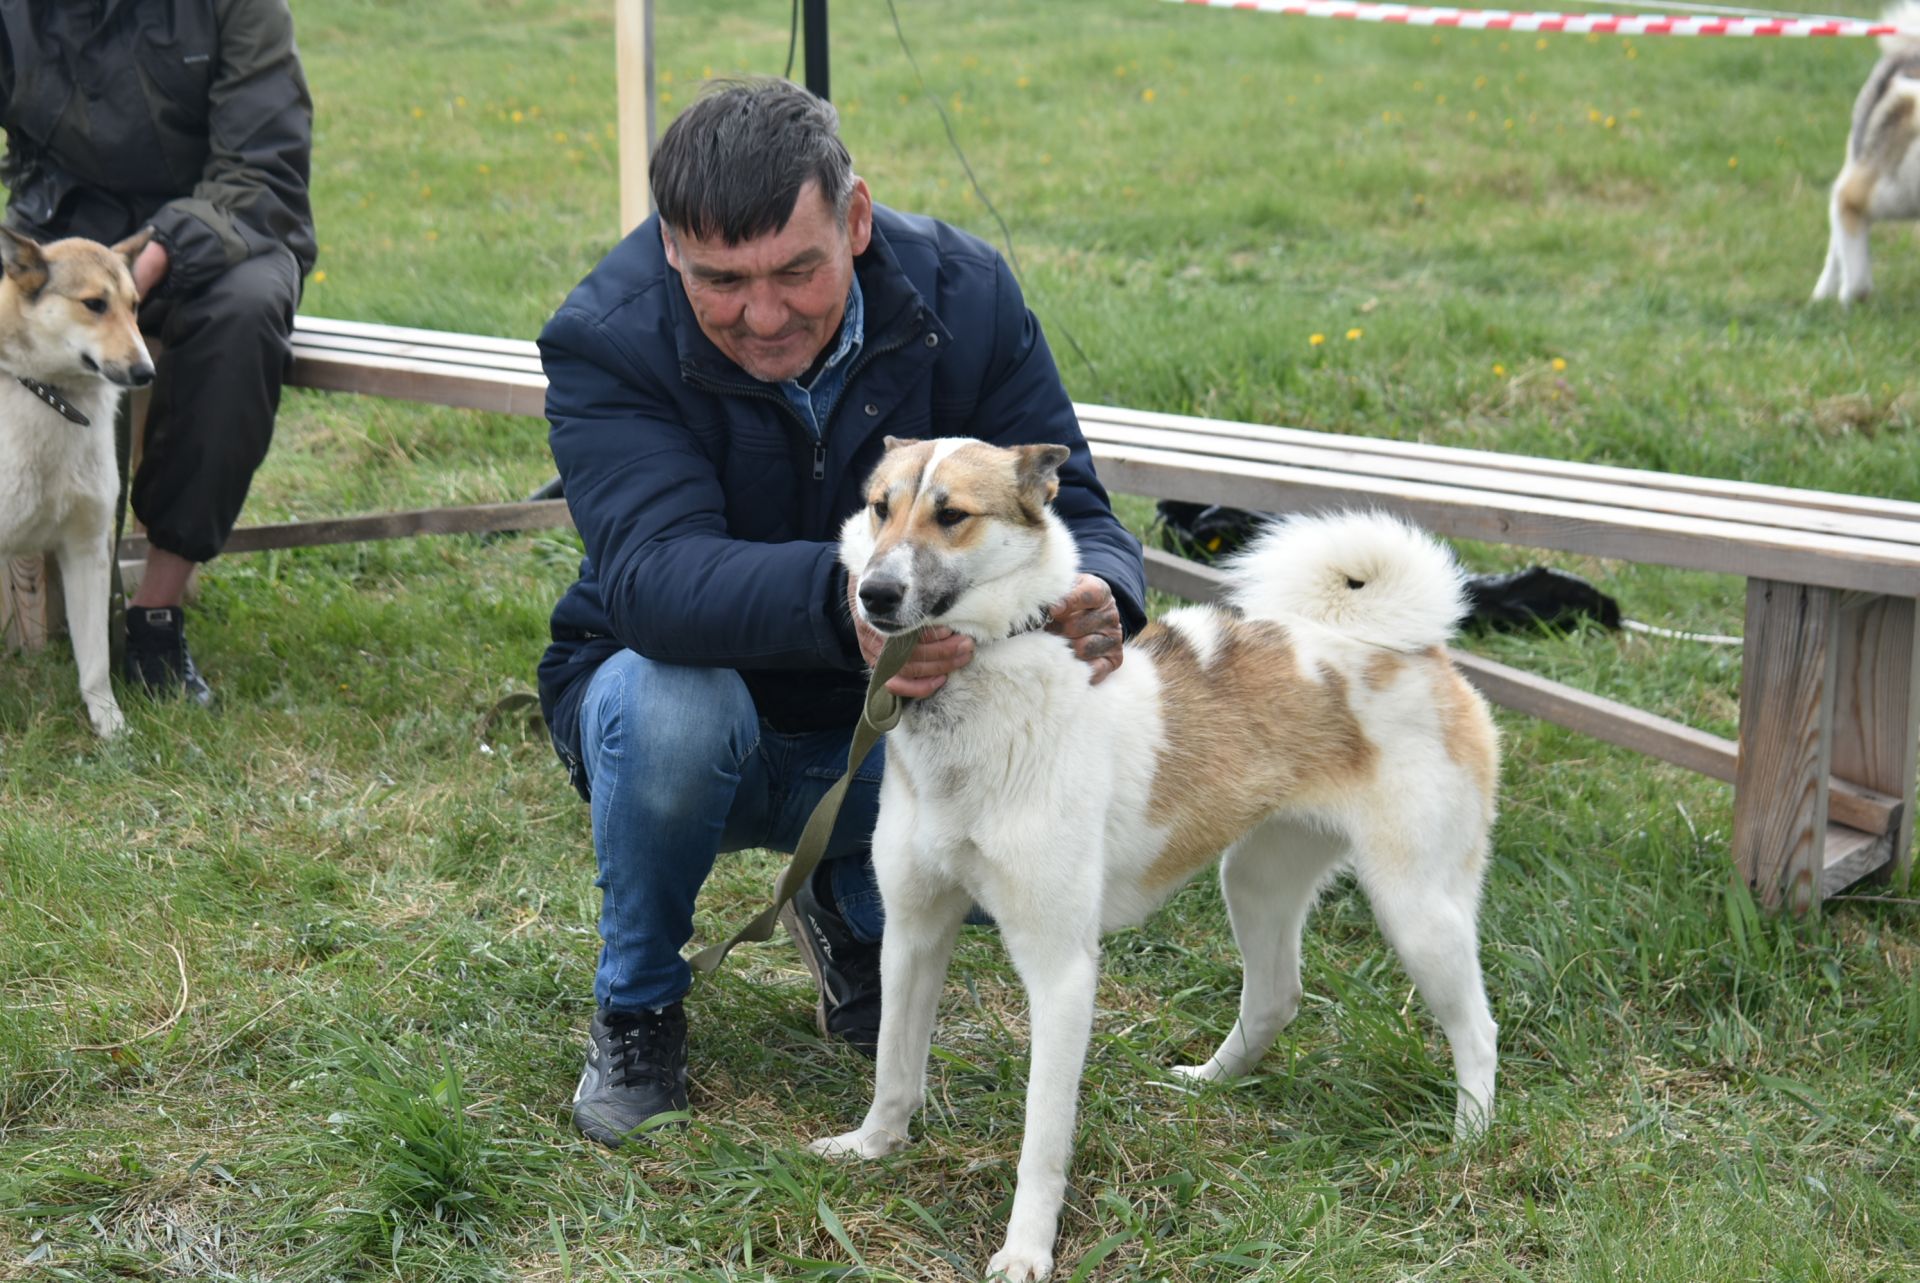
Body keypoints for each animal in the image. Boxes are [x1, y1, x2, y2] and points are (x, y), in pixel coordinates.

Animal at [0, 225, 156, 737]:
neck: (52, 397)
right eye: (94, 304)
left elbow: (96, 662)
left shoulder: (88, 549)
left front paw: (111, 730)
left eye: (135, 305)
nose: (147, 372)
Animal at [810, 435, 1497, 1275]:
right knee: (1274, 996)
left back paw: (1469, 1142)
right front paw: (874, 1145)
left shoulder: (1061, 971)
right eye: (881, 507)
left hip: (1417, 911)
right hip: (1256, 882)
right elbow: (893, 1067)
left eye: (952, 514)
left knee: (1477, 1029)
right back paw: (1209, 1082)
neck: (982, 693)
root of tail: (1413, 648)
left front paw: (1027, 1249)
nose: (873, 593)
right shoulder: (911, 931)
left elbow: (1042, 1142)